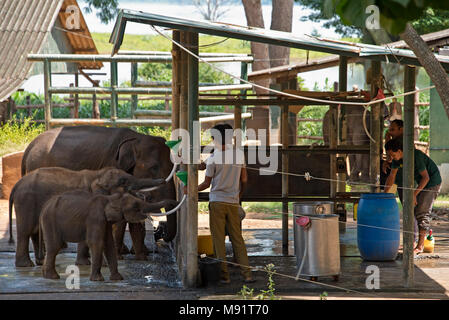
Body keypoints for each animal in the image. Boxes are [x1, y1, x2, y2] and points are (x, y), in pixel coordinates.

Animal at [21, 125, 177, 258]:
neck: (136, 138)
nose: (160, 232)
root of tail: (29, 147)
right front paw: (120, 254)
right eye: (154, 168)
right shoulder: (112, 166)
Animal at [39, 190, 177, 280]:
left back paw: (46, 276)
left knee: (53, 247)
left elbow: (108, 243)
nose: (175, 202)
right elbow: (97, 243)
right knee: (55, 246)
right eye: (135, 205)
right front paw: (98, 280)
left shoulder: (105, 222)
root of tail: (44, 206)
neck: (110, 198)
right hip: (50, 220)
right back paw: (53, 277)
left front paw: (118, 279)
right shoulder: (96, 218)